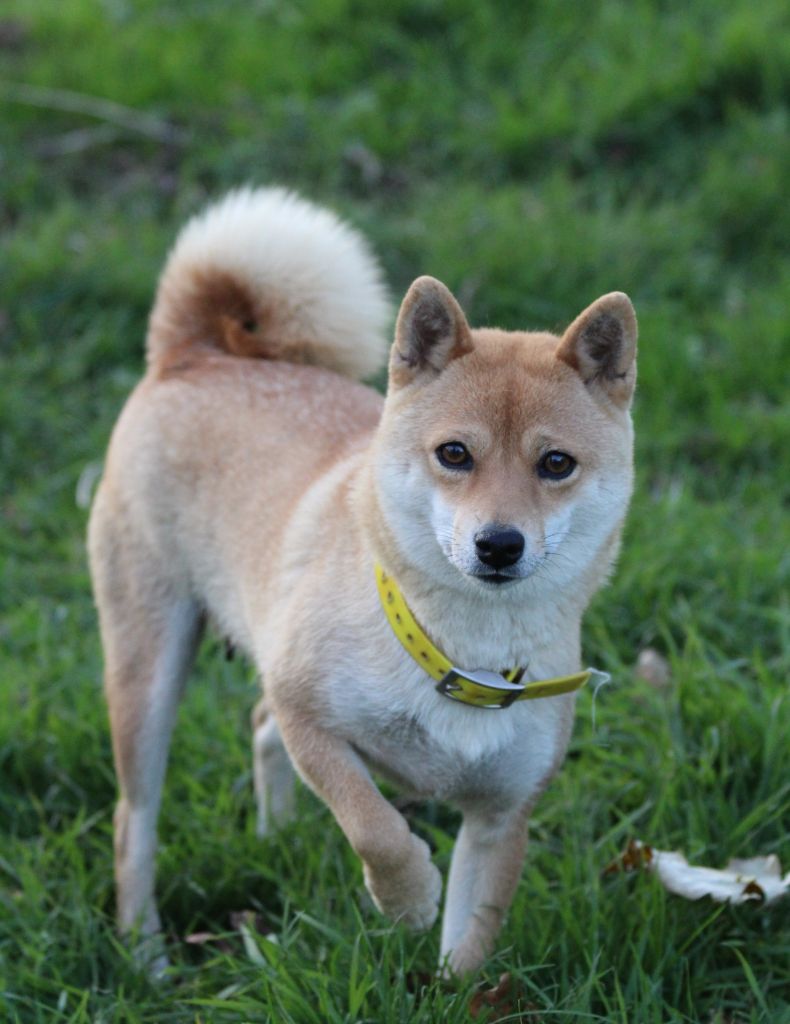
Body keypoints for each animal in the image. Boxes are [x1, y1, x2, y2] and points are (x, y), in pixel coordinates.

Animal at [88, 186, 635, 974]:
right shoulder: (309, 715)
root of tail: (197, 354)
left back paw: (277, 836)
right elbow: (374, 825)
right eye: (454, 453)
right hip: (147, 668)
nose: (499, 544)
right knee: (135, 819)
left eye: (556, 464)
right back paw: (145, 954)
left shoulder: (502, 817)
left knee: (256, 728)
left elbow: (470, 949)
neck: (461, 651)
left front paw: (452, 985)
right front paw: (407, 897)